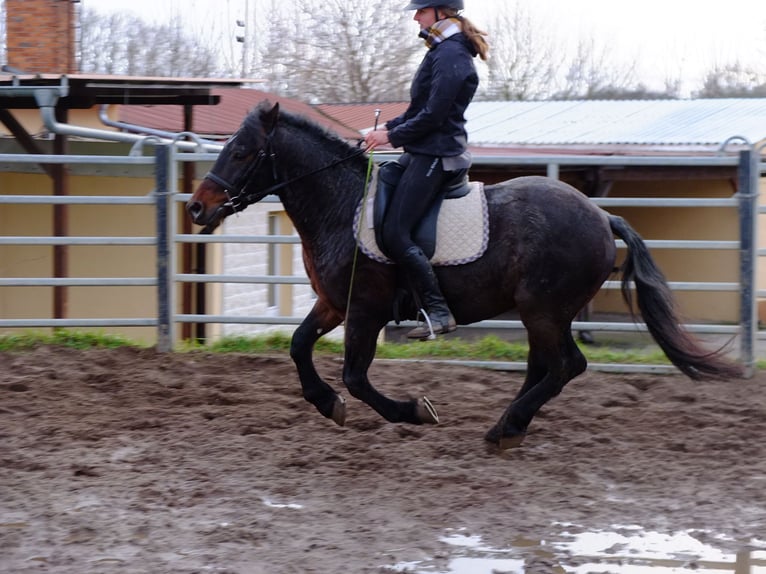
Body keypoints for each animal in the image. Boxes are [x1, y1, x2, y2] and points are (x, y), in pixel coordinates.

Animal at [186, 101, 744, 450]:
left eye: (241, 151)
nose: (195, 208)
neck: (340, 204)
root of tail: (600, 214)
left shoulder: (364, 309)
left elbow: (356, 377)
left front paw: (413, 411)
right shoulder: (334, 303)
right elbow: (299, 345)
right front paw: (327, 404)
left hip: (545, 309)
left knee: (567, 366)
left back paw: (506, 428)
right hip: (540, 312)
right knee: (544, 367)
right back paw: (508, 426)